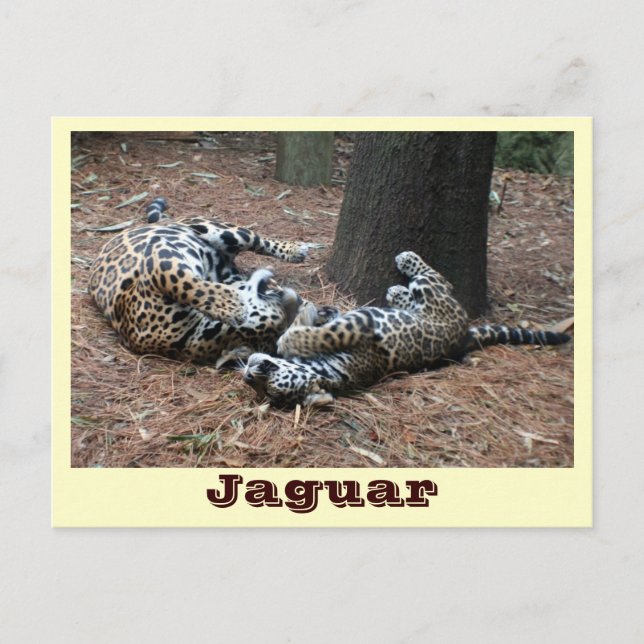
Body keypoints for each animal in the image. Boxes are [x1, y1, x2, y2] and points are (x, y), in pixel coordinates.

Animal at [88, 197, 317, 363]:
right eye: (280, 308)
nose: (294, 300)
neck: (191, 333)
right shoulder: (160, 256)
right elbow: (183, 282)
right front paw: (232, 306)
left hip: (224, 233)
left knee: (260, 241)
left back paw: (294, 251)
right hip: (218, 243)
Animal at [242, 250, 571, 407]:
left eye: (271, 386)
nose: (247, 374)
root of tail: (463, 335)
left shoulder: (358, 325)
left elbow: (314, 330)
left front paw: (298, 323)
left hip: (432, 294)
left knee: (435, 278)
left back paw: (404, 262)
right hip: (432, 300)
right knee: (428, 286)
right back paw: (398, 289)